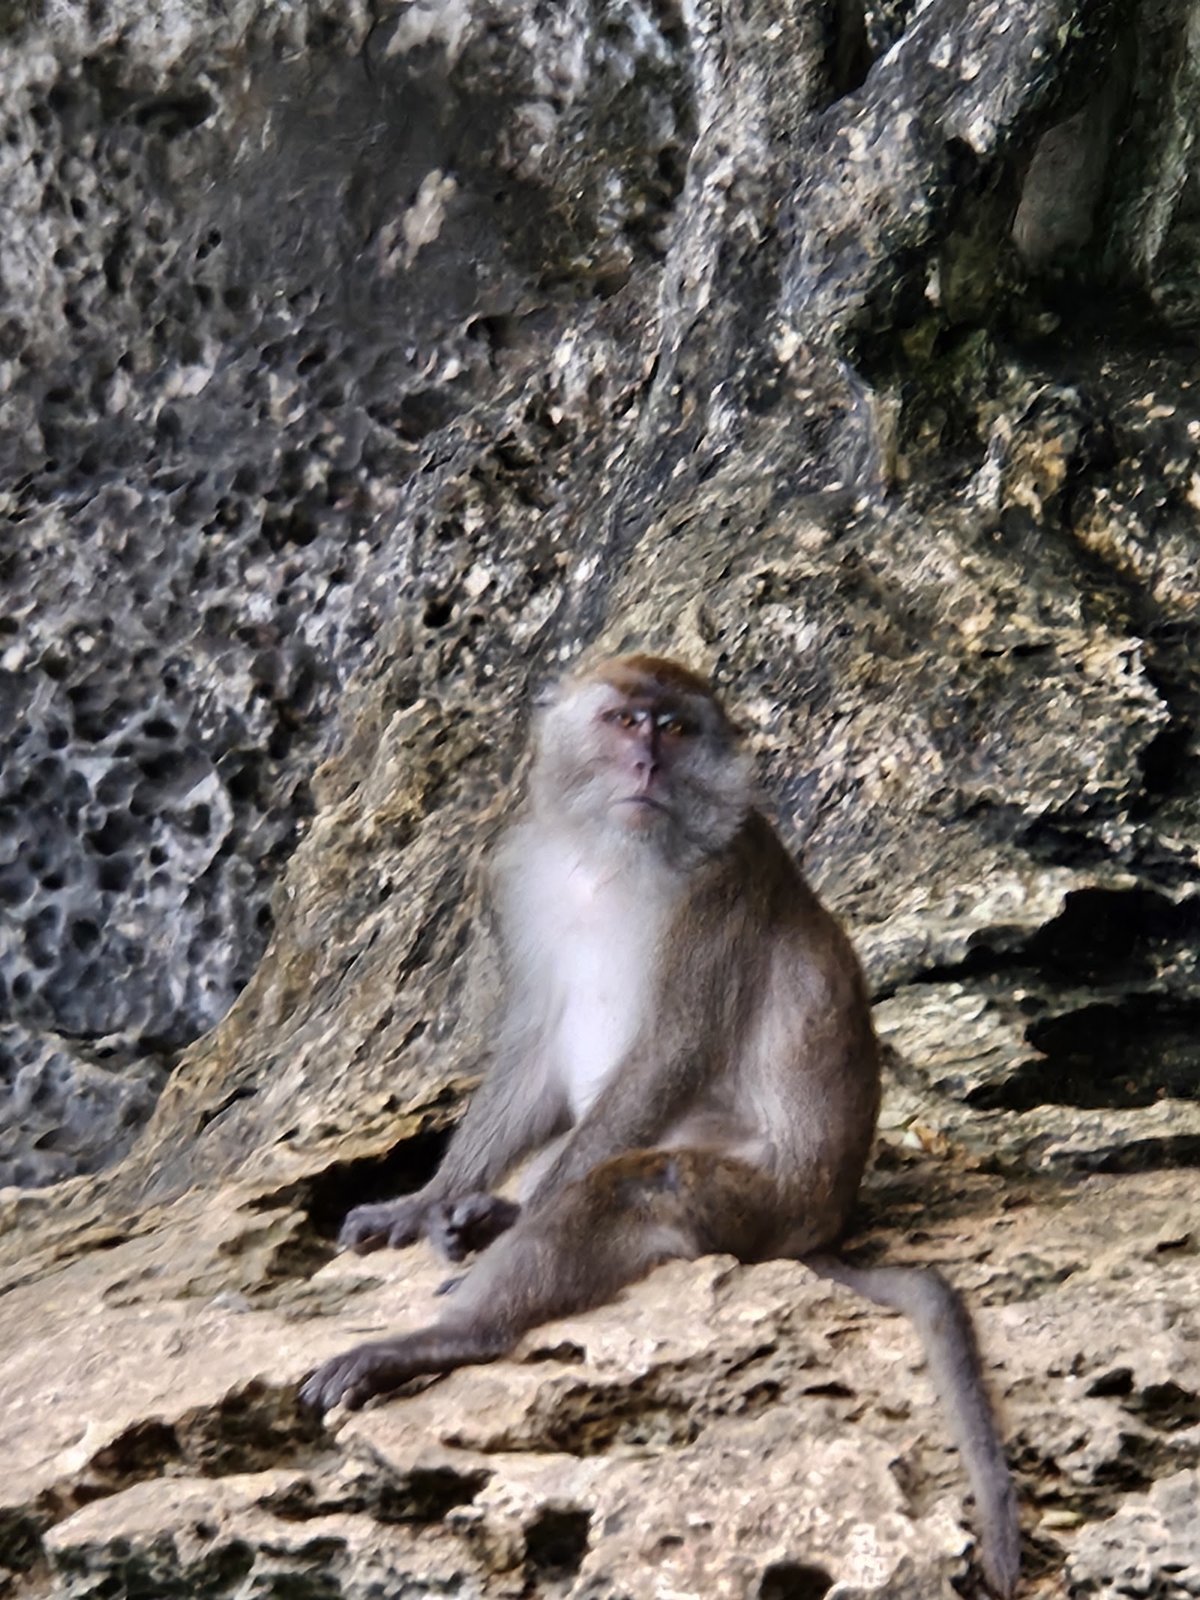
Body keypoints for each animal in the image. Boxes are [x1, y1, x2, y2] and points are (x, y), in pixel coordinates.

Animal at [300, 654, 1020, 1598]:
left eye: (675, 729)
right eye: (622, 720)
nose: (647, 764)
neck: (612, 858)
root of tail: (825, 1229)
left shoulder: (722, 886)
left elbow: (670, 1049)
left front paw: (508, 1228)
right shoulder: (520, 875)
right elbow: (535, 1041)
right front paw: (428, 1202)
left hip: (760, 1203)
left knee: (635, 1184)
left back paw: (451, 1330)